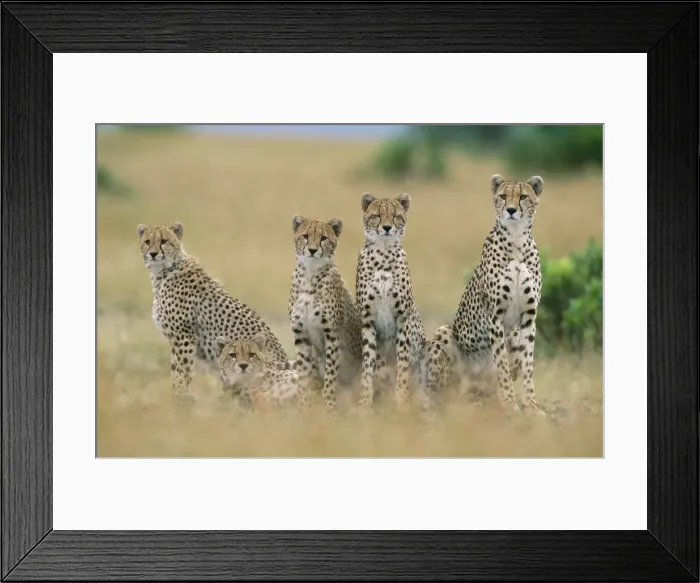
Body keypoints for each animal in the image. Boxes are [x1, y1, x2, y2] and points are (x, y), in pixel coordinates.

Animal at [137, 221, 294, 406]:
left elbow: (181, 372)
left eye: (163, 241)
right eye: (147, 241)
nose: (153, 254)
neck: (165, 271)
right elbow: (177, 371)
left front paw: (179, 398)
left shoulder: (184, 338)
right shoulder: (178, 339)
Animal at [288, 216, 363, 412]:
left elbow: (331, 375)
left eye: (323, 238)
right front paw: (303, 406)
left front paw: (329, 405)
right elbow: (304, 375)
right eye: (305, 236)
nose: (313, 250)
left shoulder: (332, 336)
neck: (310, 274)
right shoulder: (301, 336)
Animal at [355, 192, 430, 410]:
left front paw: (401, 400)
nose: (387, 228)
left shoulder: (402, 320)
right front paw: (365, 401)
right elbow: (369, 365)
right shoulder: (368, 321)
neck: (383, 254)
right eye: (377, 215)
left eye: (396, 216)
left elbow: (403, 363)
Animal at [428, 174, 548, 417]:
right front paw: (510, 403)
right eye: (503, 196)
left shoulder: (529, 317)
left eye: (523, 196)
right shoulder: (496, 316)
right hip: (444, 333)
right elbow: (501, 362)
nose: (511, 210)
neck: (517, 240)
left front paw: (530, 406)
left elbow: (528, 365)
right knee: (449, 390)